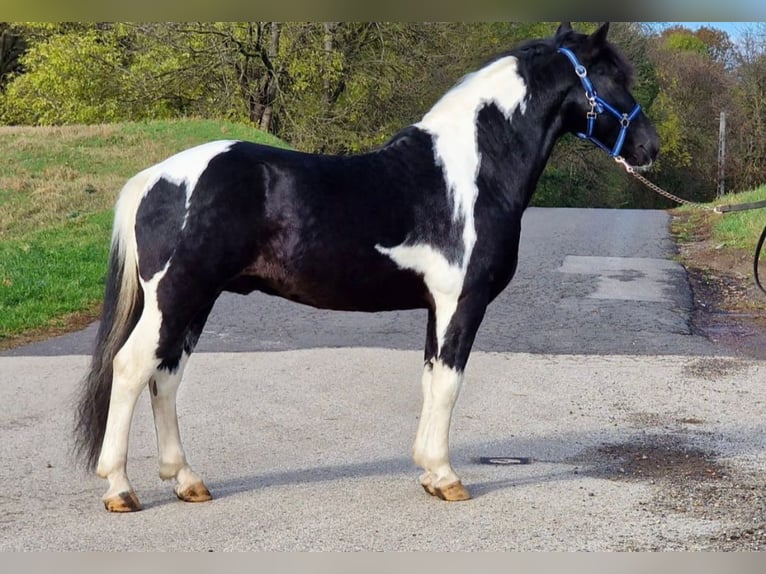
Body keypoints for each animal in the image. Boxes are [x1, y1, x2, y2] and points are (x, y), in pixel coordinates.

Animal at [75, 22, 660, 512]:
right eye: (611, 76)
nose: (649, 146)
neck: (469, 175)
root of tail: (155, 178)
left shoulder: (437, 307)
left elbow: (430, 380)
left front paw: (428, 472)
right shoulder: (461, 303)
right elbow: (449, 383)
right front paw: (447, 477)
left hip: (195, 301)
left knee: (166, 376)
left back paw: (186, 480)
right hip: (177, 296)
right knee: (131, 368)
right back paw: (120, 489)